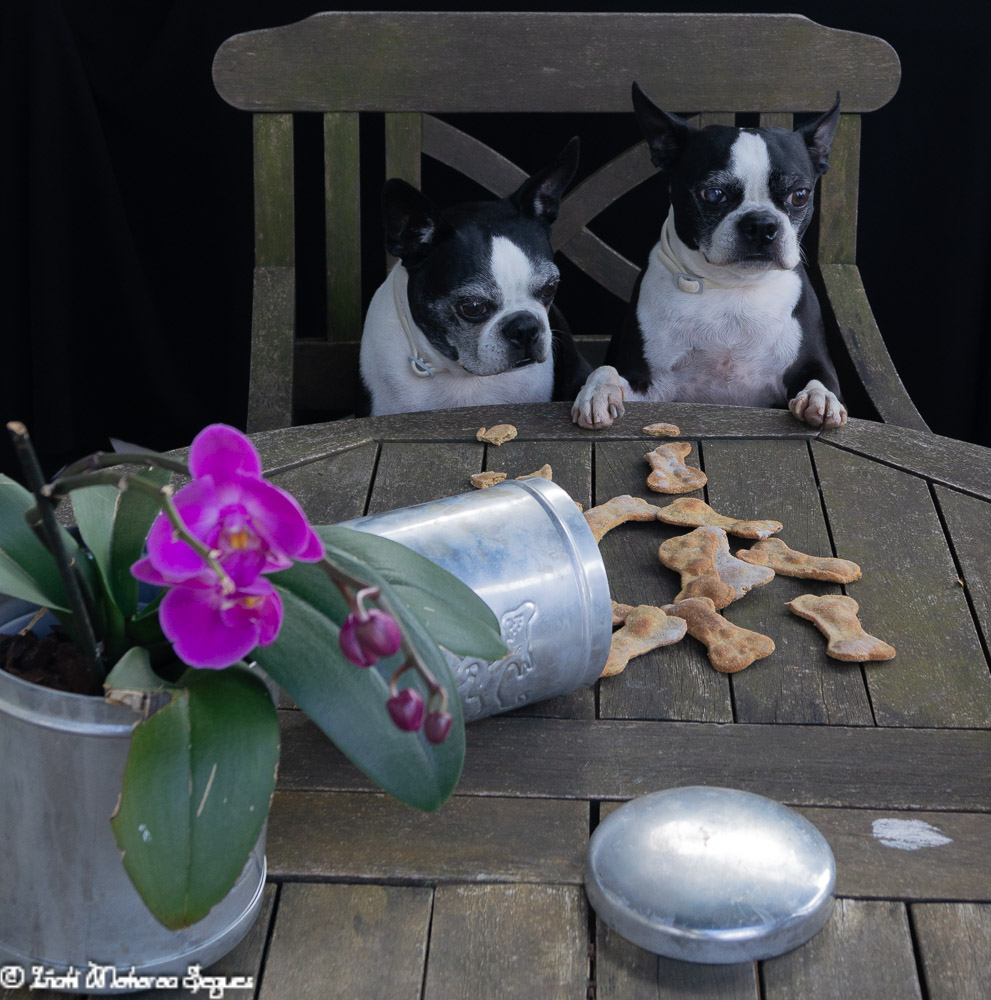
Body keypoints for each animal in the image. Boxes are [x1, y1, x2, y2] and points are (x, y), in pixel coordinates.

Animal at [572, 86, 844, 430]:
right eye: (713, 194)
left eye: (800, 195)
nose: (761, 224)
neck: (732, 287)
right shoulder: (649, 384)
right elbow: (606, 370)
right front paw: (597, 393)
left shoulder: (812, 364)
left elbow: (820, 380)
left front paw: (820, 399)